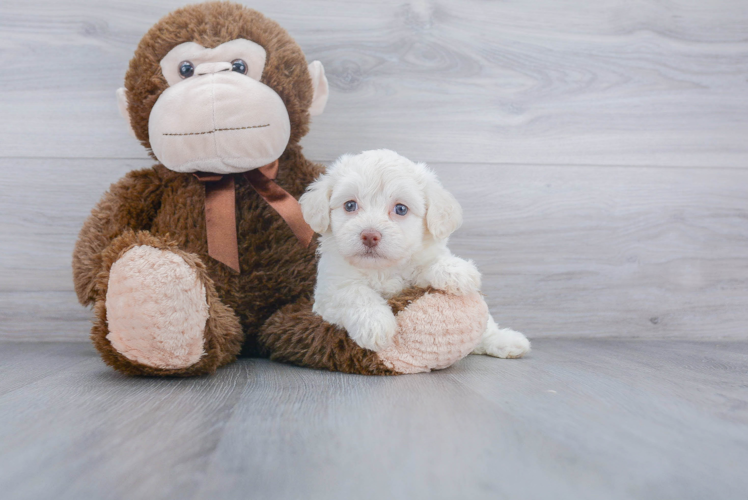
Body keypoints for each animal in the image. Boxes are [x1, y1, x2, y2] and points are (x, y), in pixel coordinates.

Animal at [300, 150, 532, 358]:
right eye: (350, 205)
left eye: (401, 209)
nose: (370, 235)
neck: (383, 269)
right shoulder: (329, 290)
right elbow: (356, 293)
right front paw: (375, 324)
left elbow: (429, 263)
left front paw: (456, 270)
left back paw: (505, 340)